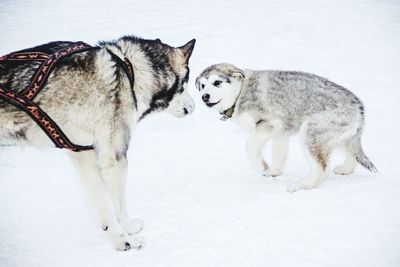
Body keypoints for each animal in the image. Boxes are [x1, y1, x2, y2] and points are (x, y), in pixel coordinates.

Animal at [0, 36, 197, 252]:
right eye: (184, 86)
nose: (194, 107)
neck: (130, 71)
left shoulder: (83, 153)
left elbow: (103, 203)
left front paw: (114, 233)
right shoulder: (115, 159)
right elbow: (118, 204)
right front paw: (127, 236)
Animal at [195, 62, 376, 193]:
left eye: (217, 82)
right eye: (202, 86)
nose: (204, 97)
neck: (241, 93)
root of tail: (358, 105)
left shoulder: (268, 125)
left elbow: (250, 147)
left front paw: (263, 167)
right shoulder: (280, 133)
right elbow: (278, 153)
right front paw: (274, 171)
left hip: (312, 133)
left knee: (322, 168)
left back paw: (301, 186)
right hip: (335, 136)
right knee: (351, 153)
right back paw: (345, 169)